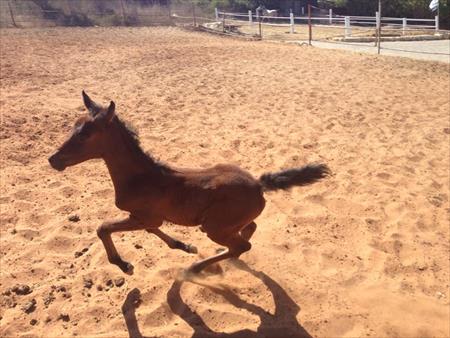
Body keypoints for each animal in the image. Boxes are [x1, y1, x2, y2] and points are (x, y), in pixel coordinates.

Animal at [49, 92, 330, 274]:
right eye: (73, 127)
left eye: (85, 134)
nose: (53, 159)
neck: (140, 177)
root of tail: (259, 185)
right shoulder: (147, 217)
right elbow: (151, 231)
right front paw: (183, 245)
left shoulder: (144, 216)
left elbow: (103, 228)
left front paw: (123, 264)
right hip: (227, 223)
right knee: (249, 230)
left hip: (215, 227)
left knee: (242, 244)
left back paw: (197, 267)